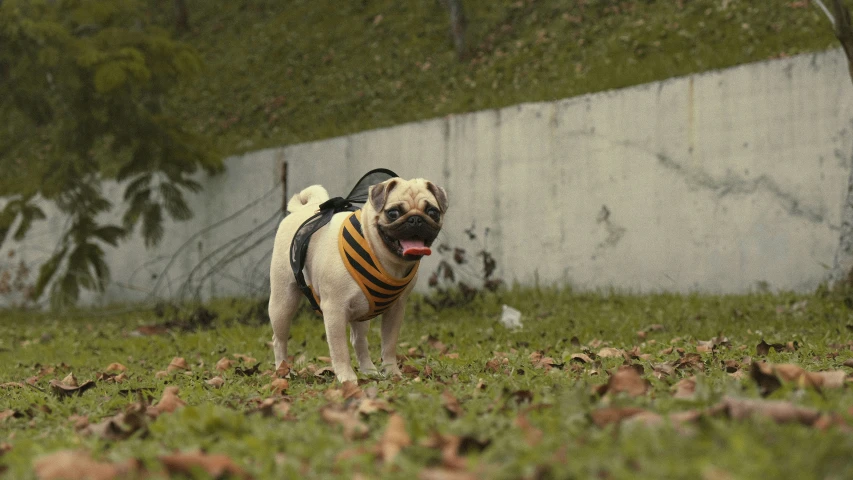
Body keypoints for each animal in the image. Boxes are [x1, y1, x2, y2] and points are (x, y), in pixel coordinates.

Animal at [270, 176, 450, 382]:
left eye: (432, 212)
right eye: (393, 213)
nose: (416, 219)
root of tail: (302, 210)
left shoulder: (396, 310)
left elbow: (389, 345)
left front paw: (392, 372)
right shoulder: (334, 311)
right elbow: (340, 349)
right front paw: (347, 378)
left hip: (363, 311)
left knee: (359, 341)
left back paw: (369, 370)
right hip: (283, 303)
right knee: (279, 339)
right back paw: (283, 371)